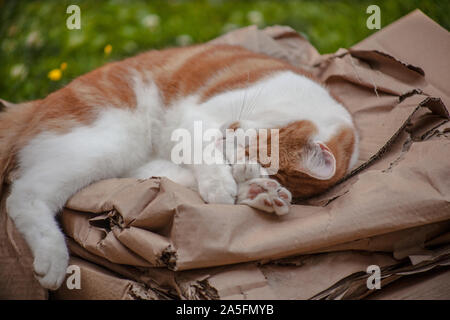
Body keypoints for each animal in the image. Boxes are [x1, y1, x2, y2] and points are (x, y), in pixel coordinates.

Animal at [0, 43, 358, 292]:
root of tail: (37, 105)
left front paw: (256, 188)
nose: (226, 141)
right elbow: (202, 149)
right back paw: (53, 257)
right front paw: (222, 183)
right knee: (24, 195)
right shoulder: (197, 118)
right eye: (246, 146)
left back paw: (261, 195)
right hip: (107, 141)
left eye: (247, 162)